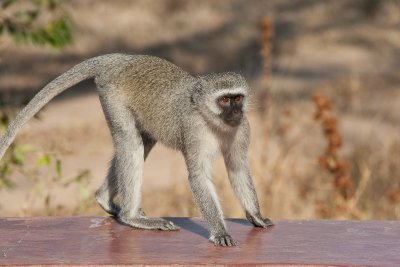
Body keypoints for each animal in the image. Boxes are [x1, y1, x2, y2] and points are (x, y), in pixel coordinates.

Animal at [0, 54, 272, 247]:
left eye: (238, 99)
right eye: (224, 100)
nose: (235, 112)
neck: (212, 121)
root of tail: (122, 59)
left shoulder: (242, 129)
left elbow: (237, 168)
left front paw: (256, 215)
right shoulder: (194, 131)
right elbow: (199, 177)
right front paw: (219, 231)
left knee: (143, 141)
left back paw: (105, 199)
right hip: (111, 95)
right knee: (131, 142)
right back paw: (131, 217)